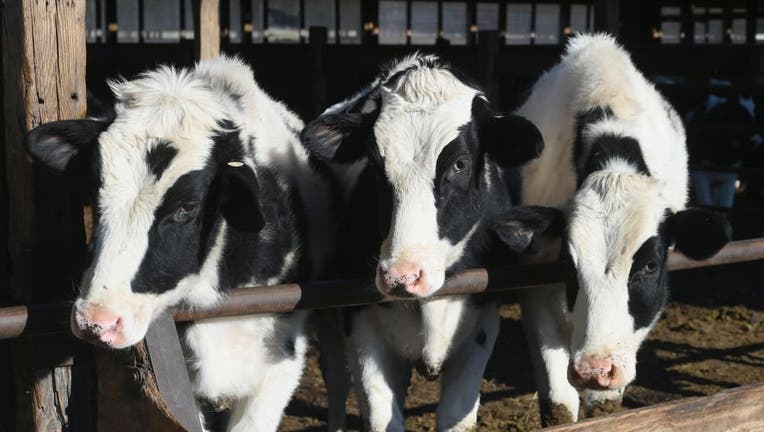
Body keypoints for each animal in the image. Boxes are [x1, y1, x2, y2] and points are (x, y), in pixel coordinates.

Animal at [300, 54, 556, 432]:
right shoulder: (360, 323)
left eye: (460, 164)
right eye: (374, 163)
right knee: (336, 378)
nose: (402, 276)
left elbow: (456, 415)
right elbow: (382, 416)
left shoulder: (482, 322)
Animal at [512, 33, 728, 426]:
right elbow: (558, 405)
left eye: (649, 265)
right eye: (568, 266)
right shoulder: (535, 282)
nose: (594, 369)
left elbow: (605, 406)